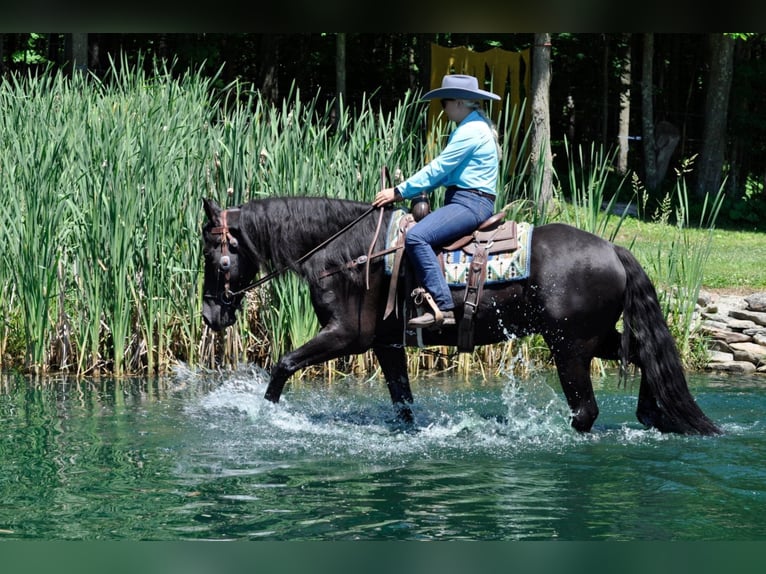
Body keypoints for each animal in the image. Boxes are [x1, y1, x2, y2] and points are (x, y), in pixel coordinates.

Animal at [201, 198, 724, 436]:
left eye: (215, 256)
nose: (209, 315)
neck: (349, 254)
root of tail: (613, 249)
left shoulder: (347, 336)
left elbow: (284, 364)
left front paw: (266, 414)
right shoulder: (387, 345)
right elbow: (403, 402)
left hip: (570, 346)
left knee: (586, 410)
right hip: (595, 338)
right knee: (645, 354)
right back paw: (657, 414)